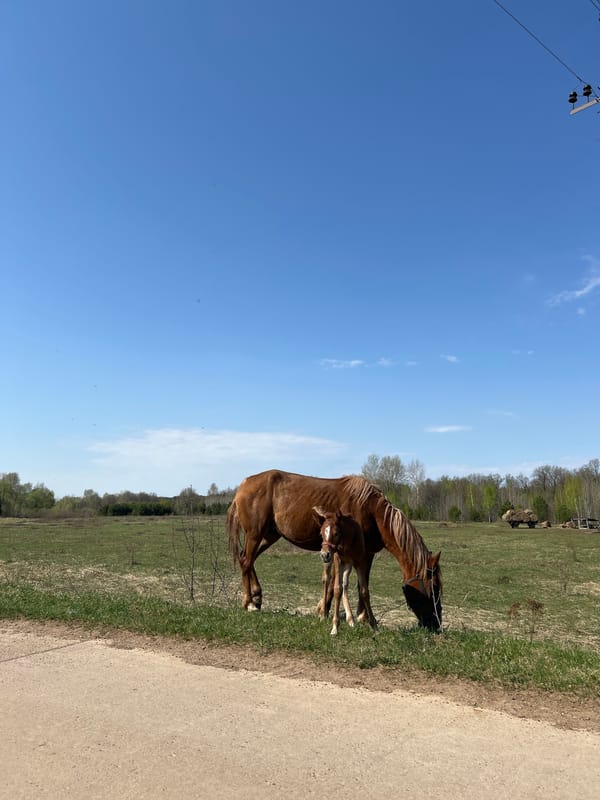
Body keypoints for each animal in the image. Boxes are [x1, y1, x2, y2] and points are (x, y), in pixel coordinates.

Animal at [314, 507, 378, 635]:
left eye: (336, 533)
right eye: (321, 533)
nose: (324, 554)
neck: (348, 541)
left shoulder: (360, 562)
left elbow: (364, 591)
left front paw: (374, 626)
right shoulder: (338, 560)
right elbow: (337, 589)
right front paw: (335, 627)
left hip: (347, 564)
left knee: (345, 583)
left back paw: (350, 620)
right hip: (332, 562)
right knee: (326, 579)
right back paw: (323, 615)